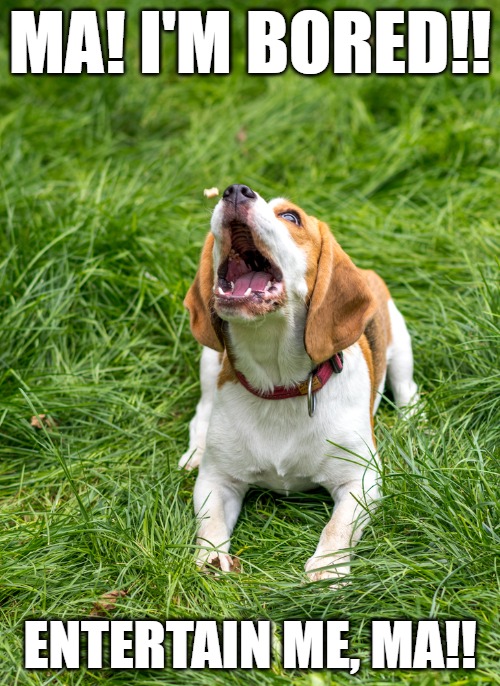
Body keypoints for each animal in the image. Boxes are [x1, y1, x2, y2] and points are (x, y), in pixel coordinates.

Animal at [180, 185, 418, 584]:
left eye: (291, 217)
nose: (235, 190)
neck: (279, 386)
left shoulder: (361, 478)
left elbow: (338, 527)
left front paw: (327, 569)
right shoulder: (217, 480)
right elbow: (210, 524)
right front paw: (210, 559)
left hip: (400, 346)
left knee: (408, 391)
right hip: (210, 362)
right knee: (202, 413)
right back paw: (195, 452)